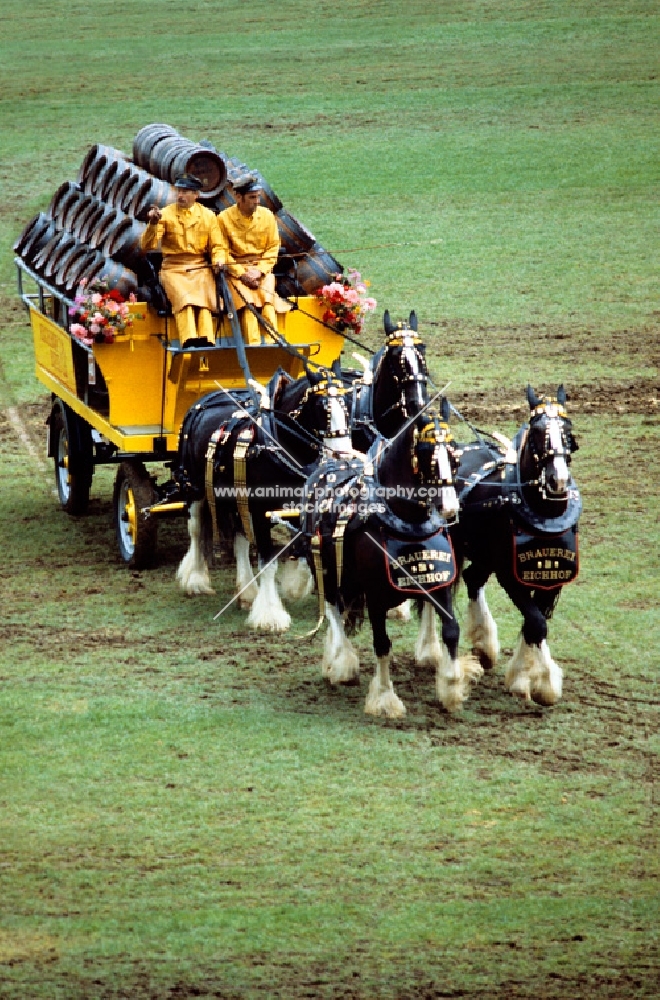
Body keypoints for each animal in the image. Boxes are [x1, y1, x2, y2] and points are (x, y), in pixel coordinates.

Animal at [452, 386, 580, 708]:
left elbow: (533, 622)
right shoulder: (510, 575)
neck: (544, 516)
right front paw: (542, 683)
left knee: (473, 578)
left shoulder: (552, 578)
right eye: (536, 432)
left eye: (567, 429)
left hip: (484, 553)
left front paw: (524, 677)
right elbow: (535, 622)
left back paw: (484, 647)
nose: (558, 479)